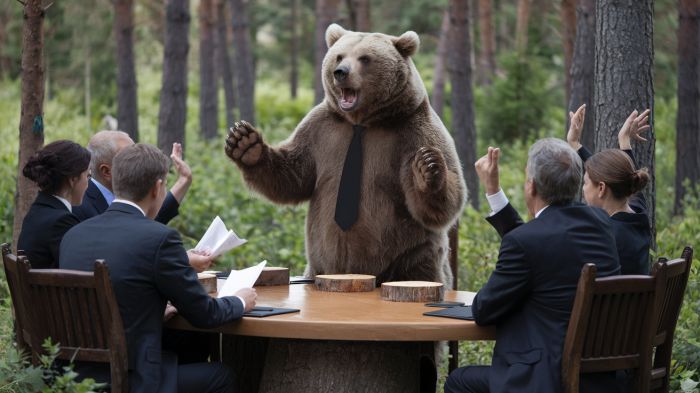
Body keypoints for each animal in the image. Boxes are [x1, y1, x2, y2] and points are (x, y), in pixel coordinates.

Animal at [224, 23, 464, 284]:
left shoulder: (414, 131)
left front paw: (427, 168)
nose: (340, 72)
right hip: (318, 265)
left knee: (420, 263)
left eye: (365, 58)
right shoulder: (322, 130)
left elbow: (445, 201)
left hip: (412, 253)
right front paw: (245, 143)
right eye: (339, 56)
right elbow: (294, 175)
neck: (361, 122)